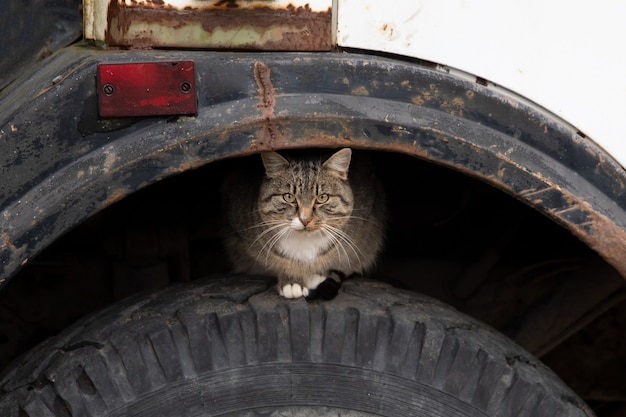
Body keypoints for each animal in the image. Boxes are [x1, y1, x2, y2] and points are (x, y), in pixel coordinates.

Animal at [222, 148, 382, 298]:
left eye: (322, 197)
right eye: (289, 197)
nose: (305, 219)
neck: (304, 242)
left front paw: (316, 273)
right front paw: (292, 281)